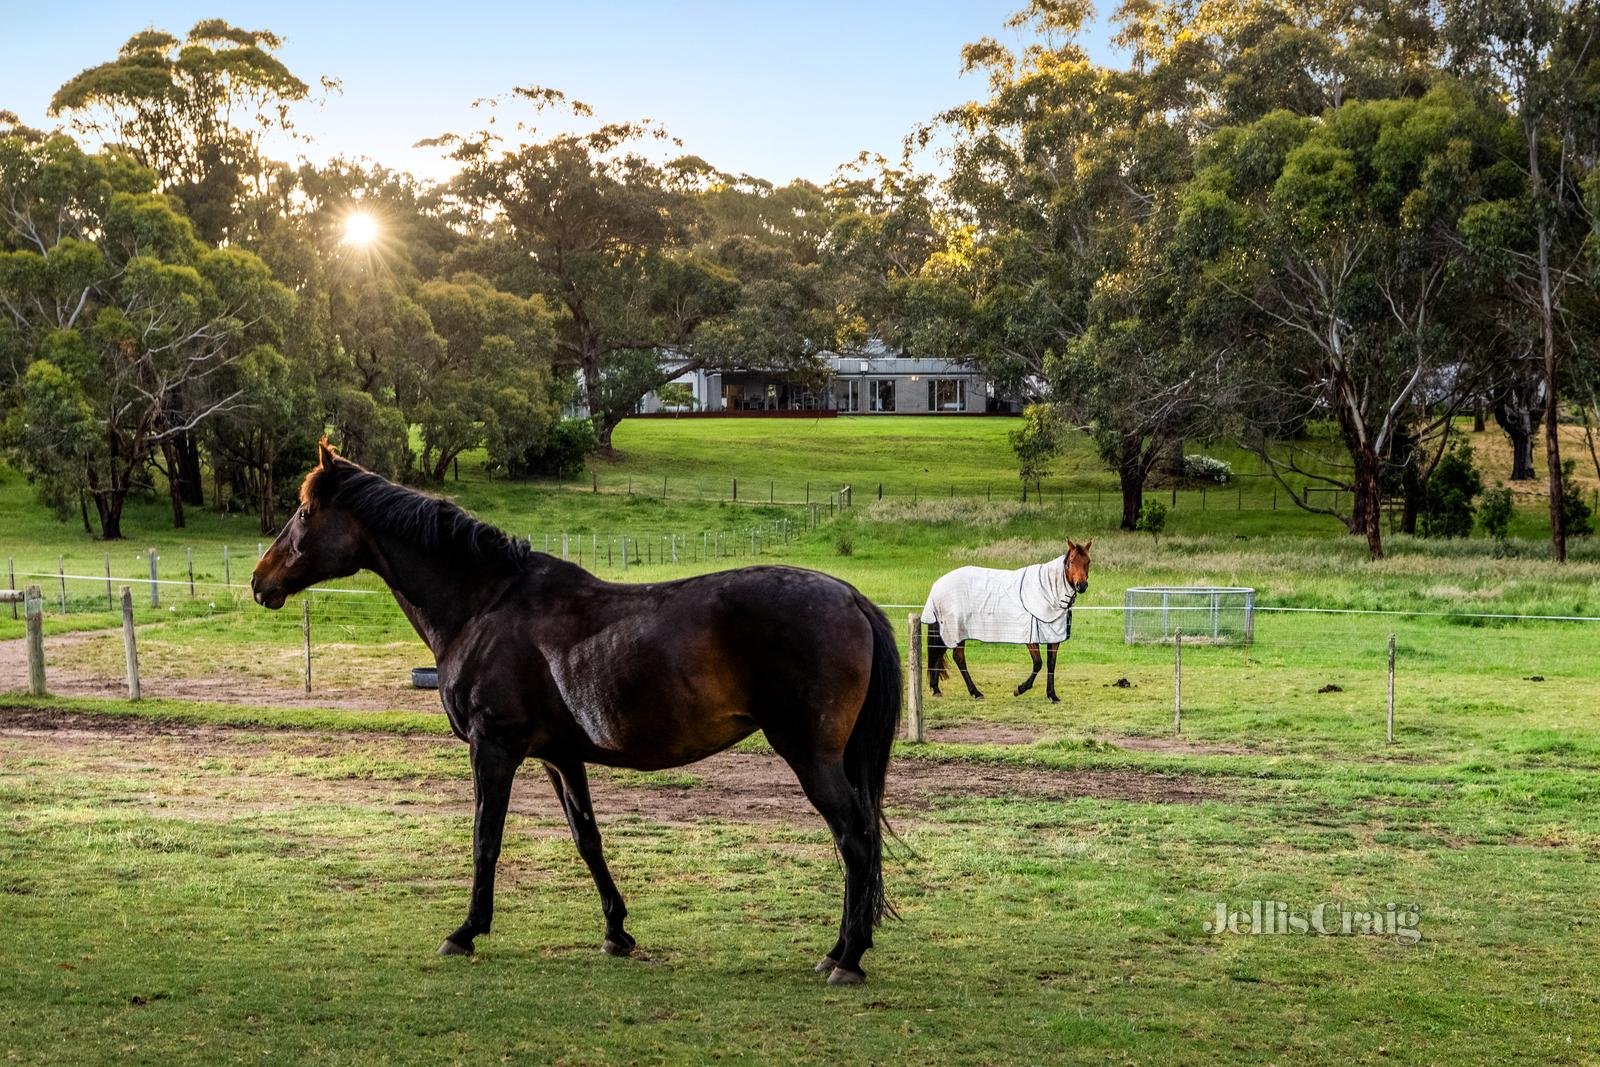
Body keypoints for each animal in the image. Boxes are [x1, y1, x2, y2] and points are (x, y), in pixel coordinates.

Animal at [249, 441, 902, 985]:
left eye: (303, 514)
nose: (260, 582)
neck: (486, 605)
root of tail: (852, 598)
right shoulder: (560, 757)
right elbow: (588, 839)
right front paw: (617, 931)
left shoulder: (493, 748)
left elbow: (486, 837)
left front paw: (466, 932)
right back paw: (838, 952)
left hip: (810, 756)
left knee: (855, 837)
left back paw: (847, 958)